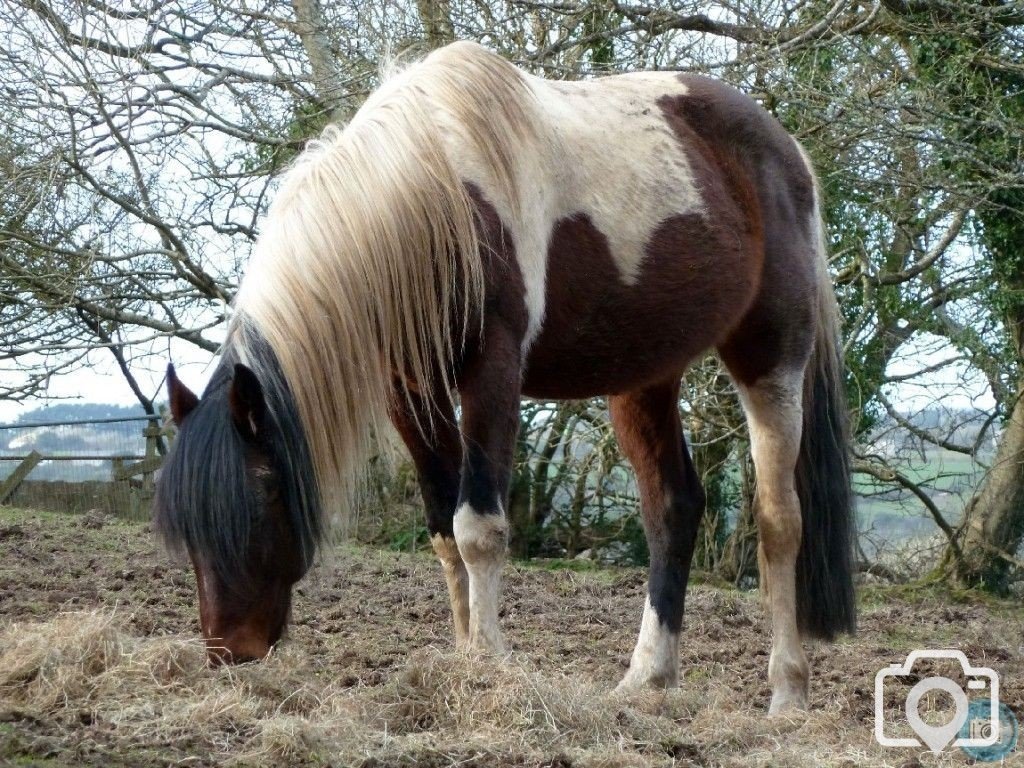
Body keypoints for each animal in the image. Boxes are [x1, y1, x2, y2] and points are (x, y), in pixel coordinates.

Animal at [153, 40, 856, 716]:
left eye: (261, 501)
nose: (229, 653)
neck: (432, 195)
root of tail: (788, 152)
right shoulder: (411, 391)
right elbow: (443, 530)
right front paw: (462, 658)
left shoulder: (490, 373)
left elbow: (479, 531)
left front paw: (488, 666)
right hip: (644, 376)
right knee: (673, 511)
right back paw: (647, 680)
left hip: (771, 358)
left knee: (779, 521)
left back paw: (787, 694)